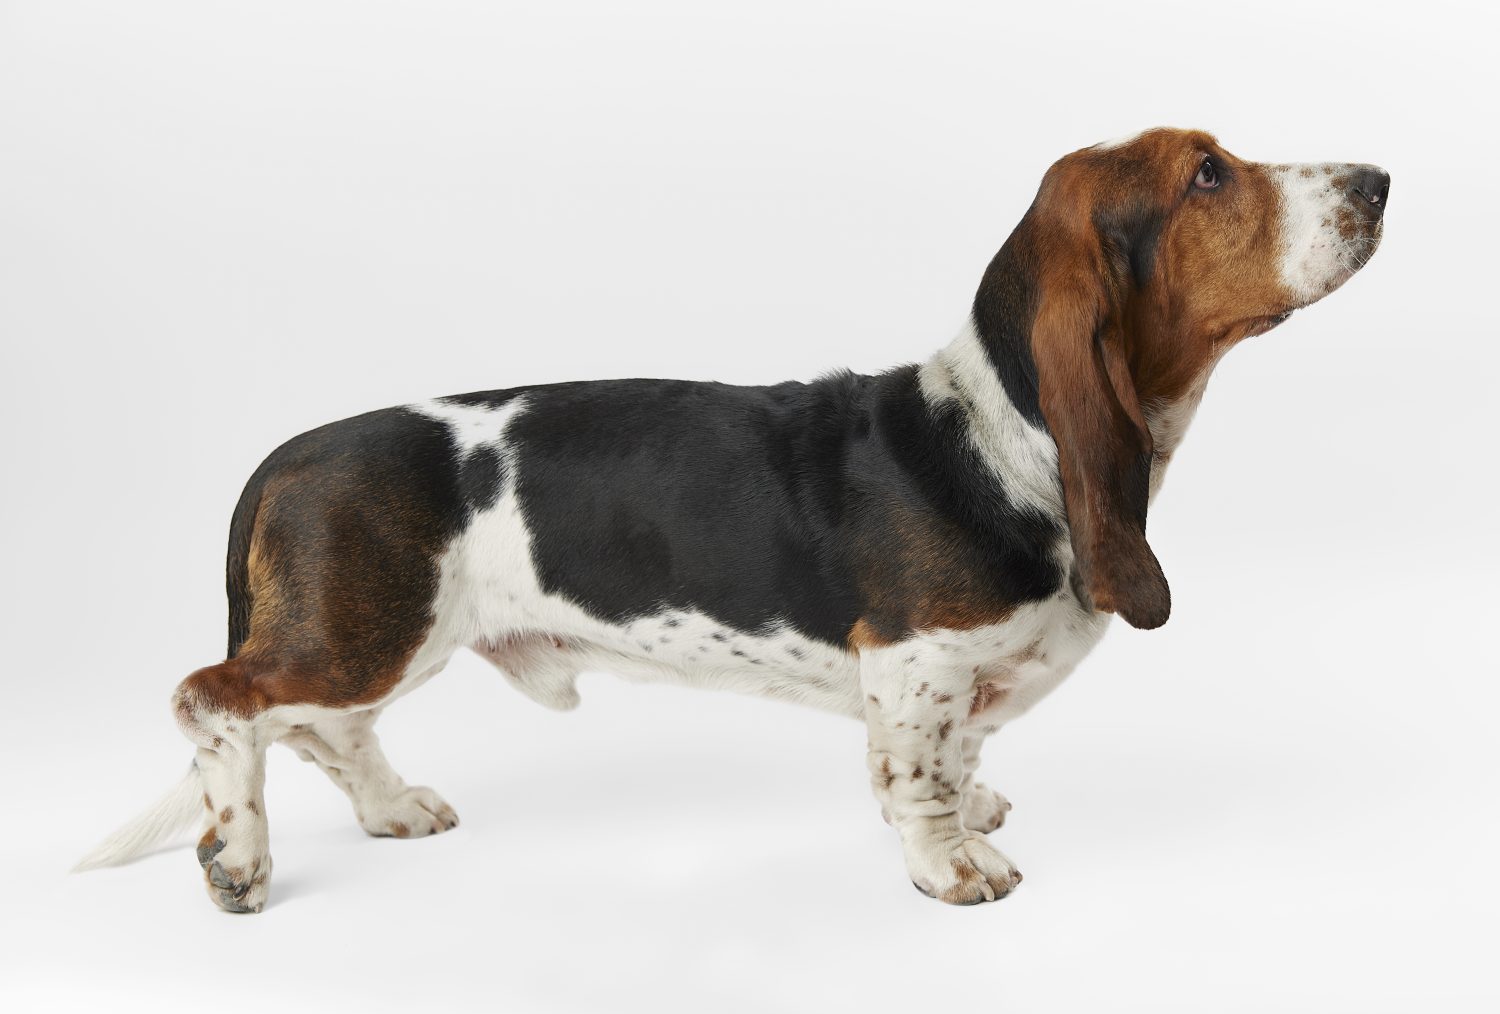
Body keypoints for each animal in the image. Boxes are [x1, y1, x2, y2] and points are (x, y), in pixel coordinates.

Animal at [77, 127, 1388, 910]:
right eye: (1207, 174)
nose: (1379, 180)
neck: (1001, 426)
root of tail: (290, 453)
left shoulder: (952, 684)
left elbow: (962, 755)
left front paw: (975, 806)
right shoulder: (913, 665)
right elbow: (918, 774)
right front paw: (952, 861)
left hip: (381, 640)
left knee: (321, 729)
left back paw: (393, 810)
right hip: (366, 633)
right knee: (218, 700)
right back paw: (241, 858)